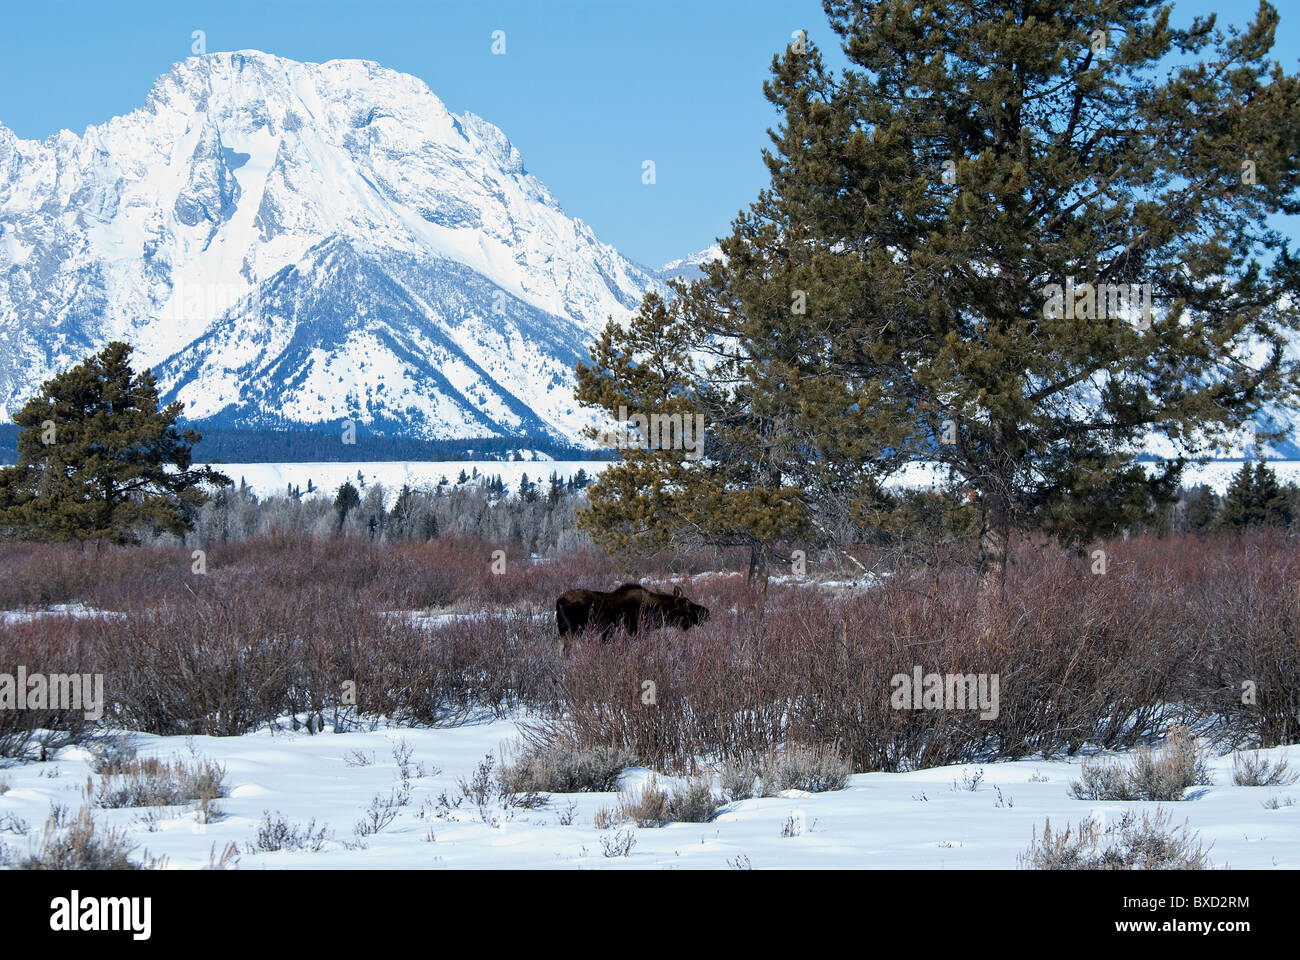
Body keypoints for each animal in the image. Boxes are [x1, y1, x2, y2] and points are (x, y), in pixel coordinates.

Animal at [551, 580, 707, 655]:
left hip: (563, 632)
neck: (655, 612)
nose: (707, 612)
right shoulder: (633, 630)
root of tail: (558, 601)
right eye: (688, 604)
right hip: (575, 631)